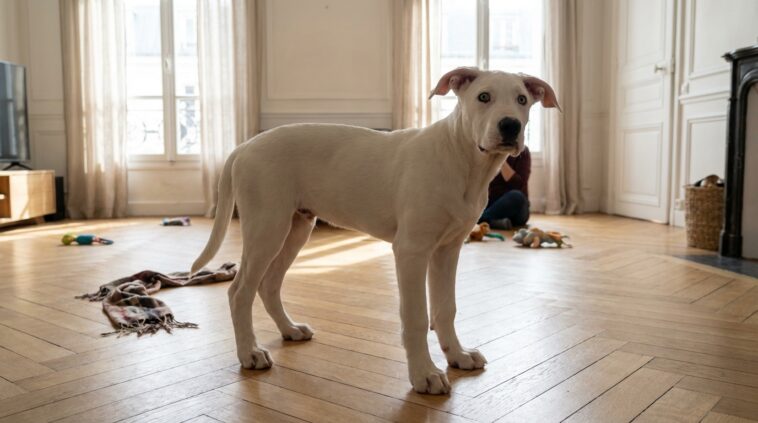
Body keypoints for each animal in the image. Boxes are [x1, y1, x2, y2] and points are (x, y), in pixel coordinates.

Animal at [191, 67, 559, 394]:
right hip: (267, 227)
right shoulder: (411, 251)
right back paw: (249, 353)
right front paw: (424, 375)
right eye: (483, 97)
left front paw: (457, 355)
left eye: (522, 99)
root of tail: (244, 147)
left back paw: (290, 329)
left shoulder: (448, 250)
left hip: (296, 227)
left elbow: (446, 309)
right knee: (239, 292)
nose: (510, 125)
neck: (462, 161)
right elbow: (416, 316)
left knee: (268, 285)